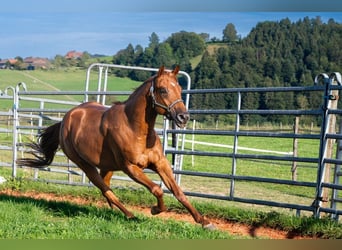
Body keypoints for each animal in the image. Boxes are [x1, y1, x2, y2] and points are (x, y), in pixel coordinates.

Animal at [18, 66, 214, 229]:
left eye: (180, 89)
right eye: (163, 90)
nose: (183, 117)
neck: (136, 130)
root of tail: (65, 120)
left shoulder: (160, 164)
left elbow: (178, 191)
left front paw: (204, 222)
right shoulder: (130, 167)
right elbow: (157, 189)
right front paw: (155, 210)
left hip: (107, 167)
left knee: (106, 189)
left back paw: (114, 211)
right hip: (85, 165)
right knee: (106, 190)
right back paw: (130, 215)